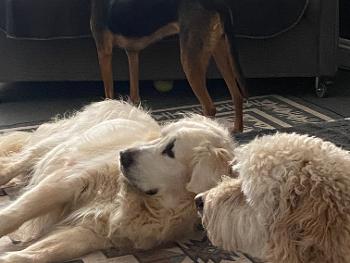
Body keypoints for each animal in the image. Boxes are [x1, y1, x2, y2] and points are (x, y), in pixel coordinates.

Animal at [91, 0, 247, 132]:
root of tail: (218, 3)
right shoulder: (132, 52)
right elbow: (134, 97)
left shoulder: (104, 51)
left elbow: (108, 94)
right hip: (219, 49)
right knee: (236, 94)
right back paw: (236, 130)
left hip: (190, 59)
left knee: (210, 108)